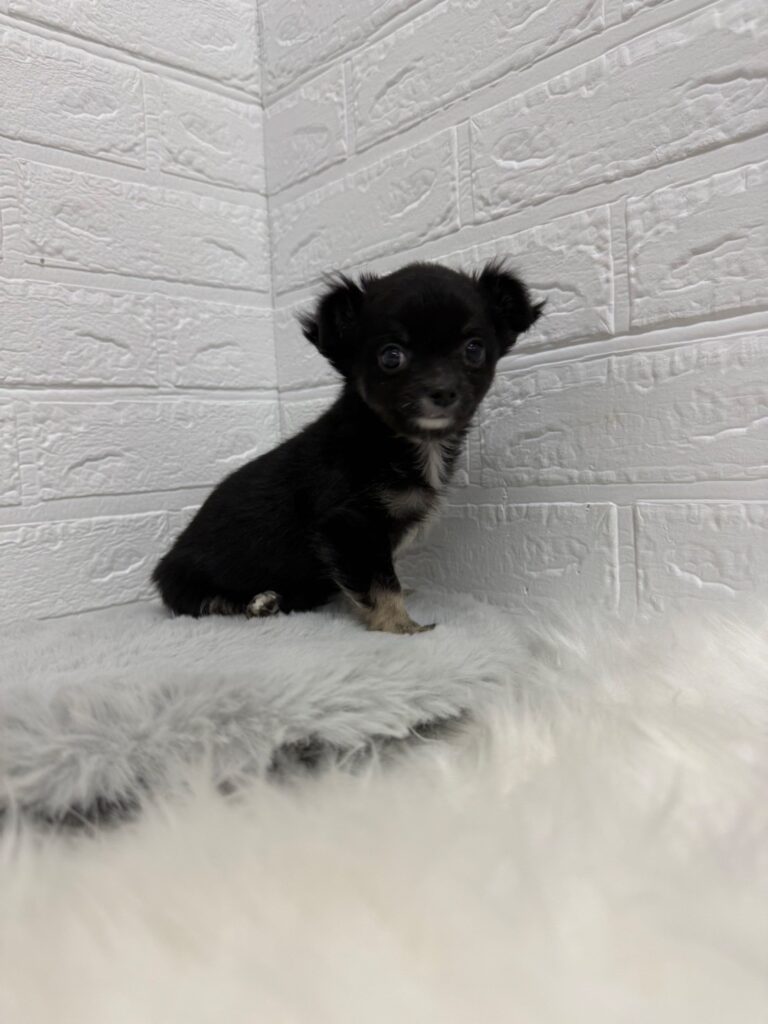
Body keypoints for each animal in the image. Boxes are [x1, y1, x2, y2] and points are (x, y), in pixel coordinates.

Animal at [152, 261, 542, 634]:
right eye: (391, 356)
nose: (443, 391)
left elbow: (382, 577)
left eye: (474, 349)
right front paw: (402, 625)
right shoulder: (349, 525)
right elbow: (381, 582)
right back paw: (257, 602)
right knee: (203, 602)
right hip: (184, 580)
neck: (396, 441)